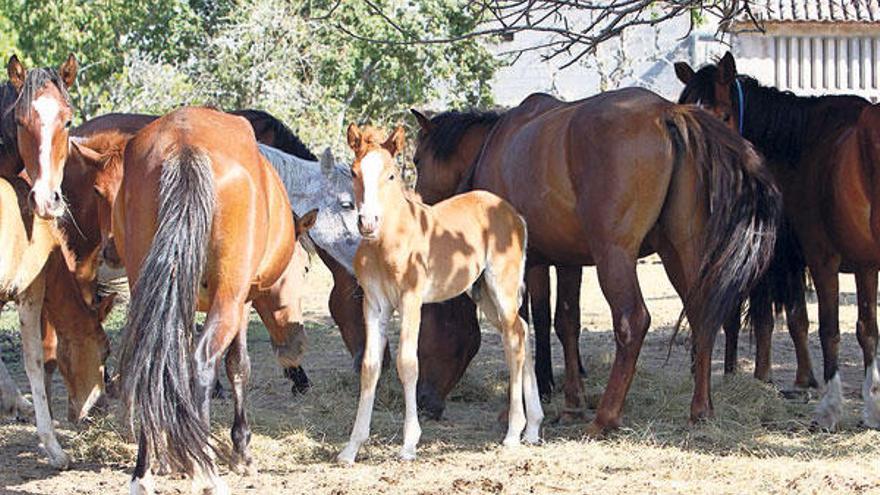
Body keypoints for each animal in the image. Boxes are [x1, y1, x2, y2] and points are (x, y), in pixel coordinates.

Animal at [116, 106, 300, 494]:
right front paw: (241, 451)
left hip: (149, 287)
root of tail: (185, 144)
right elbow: (237, 365)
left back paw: (145, 471)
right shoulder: (242, 302)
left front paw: (173, 457)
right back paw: (205, 469)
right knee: (202, 361)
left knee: (149, 361)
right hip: (228, 298)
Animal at [336, 124, 544, 464]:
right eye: (354, 172)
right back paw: (533, 428)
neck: (385, 243)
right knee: (522, 331)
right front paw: (351, 447)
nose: (367, 223)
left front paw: (409, 444)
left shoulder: (411, 300)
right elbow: (370, 367)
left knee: (514, 338)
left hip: (503, 285)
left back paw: (514, 432)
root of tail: (515, 215)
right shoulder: (374, 304)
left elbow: (408, 364)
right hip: (483, 293)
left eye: (391, 174)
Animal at [410, 90, 780, 434]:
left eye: (416, 160)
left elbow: (521, 324)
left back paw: (606, 417)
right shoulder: (567, 262)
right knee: (702, 316)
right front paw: (572, 404)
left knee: (633, 321)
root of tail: (666, 112)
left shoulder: (526, 263)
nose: (423, 400)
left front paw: (516, 410)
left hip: (614, 257)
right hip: (679, 253)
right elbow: (566, 323)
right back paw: (701, 410)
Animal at [676, 51, 880, 430]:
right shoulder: (860, 264)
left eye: (722, 115)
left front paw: (826, 405)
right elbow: (863, 330)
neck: (804, 144)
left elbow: (820, 326)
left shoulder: (812, 257)